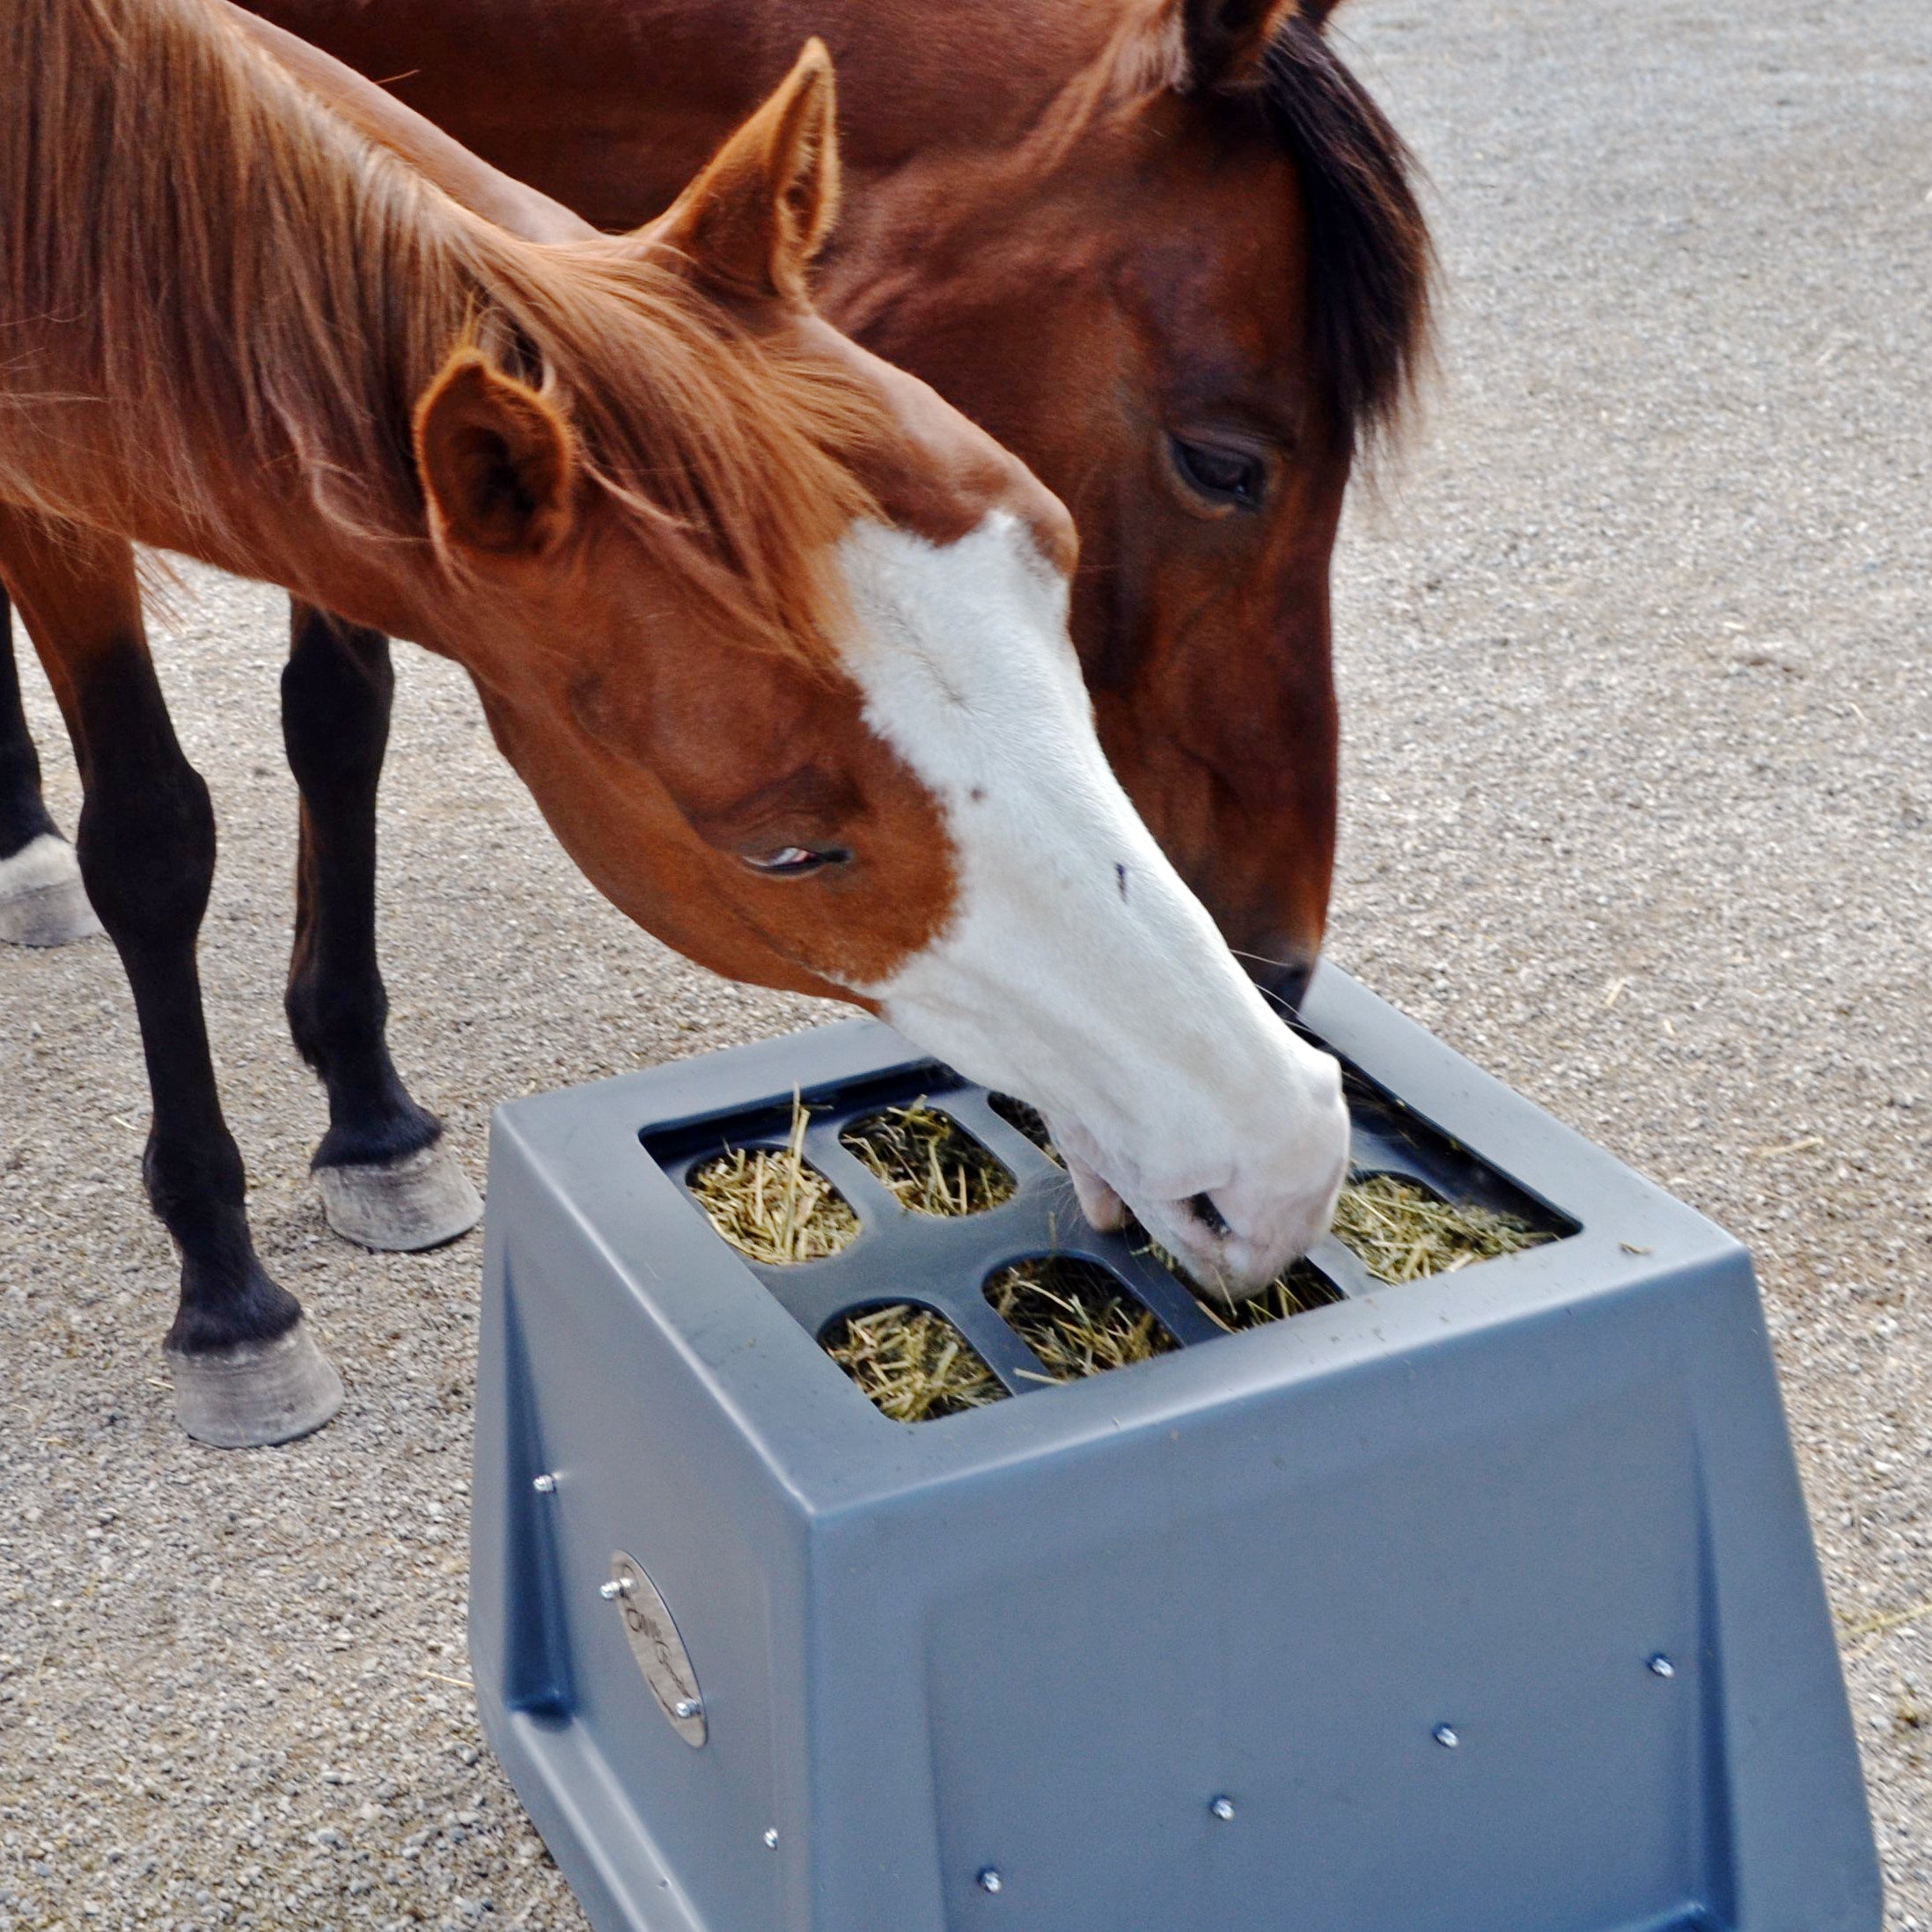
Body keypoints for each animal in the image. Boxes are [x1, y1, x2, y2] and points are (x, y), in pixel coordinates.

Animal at [7, 0, 1352, 1444]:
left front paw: (371, 1121)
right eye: (785, 852)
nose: (1279, 1153)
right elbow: (153, 844)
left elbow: (337, 721)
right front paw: (227, 1290)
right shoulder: (56, 502)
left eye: (1053, 566)